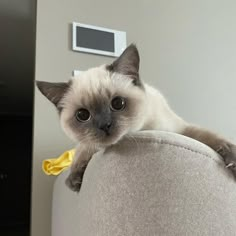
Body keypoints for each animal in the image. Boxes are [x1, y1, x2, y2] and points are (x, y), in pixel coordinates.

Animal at [36, 43, 236, 192]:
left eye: (117, 103)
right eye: (83, 115)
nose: (104, 125)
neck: (143, 129)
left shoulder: (180, 129)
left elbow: (211, 137)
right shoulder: (88, 144)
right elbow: (83, 148)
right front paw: (75, 178)